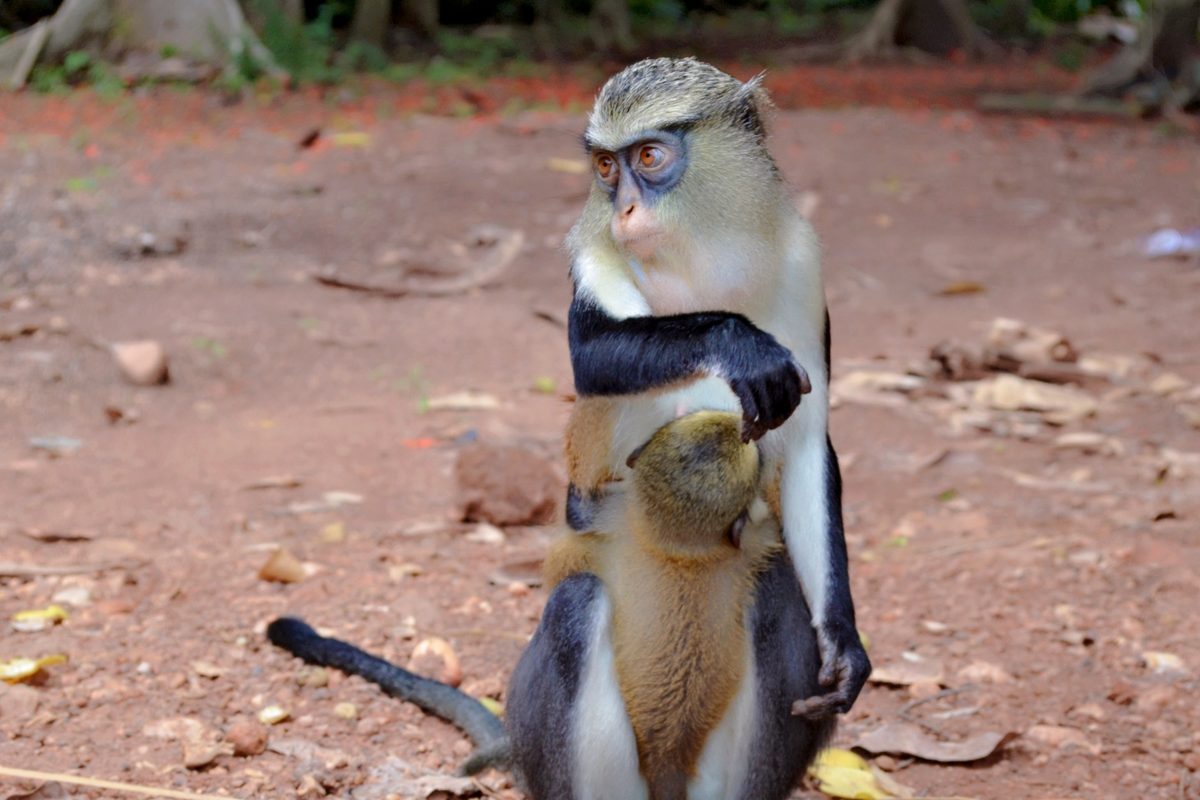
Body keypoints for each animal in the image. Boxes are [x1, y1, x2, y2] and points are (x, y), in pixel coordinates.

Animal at [268, 410, 832, 799]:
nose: (751, 427)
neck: (679, 548)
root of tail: (669, 779)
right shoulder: (611, 514)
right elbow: (579, 512)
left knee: (773, 592)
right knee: (578, 601)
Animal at [561, 57, 869, 719]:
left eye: (649, 157)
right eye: (606, 168)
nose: (623, 211)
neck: (700, 252)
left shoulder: (802, 261)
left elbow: (808, 441)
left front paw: (843, 643)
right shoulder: (596, 256)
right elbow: (592, 354)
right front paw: (739, 343)